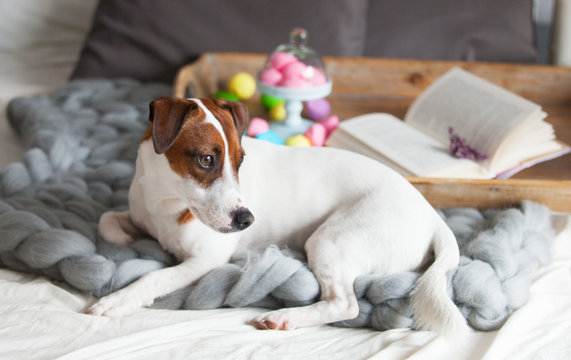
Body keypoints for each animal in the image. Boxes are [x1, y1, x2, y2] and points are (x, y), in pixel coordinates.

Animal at [90, 96, 470, 334]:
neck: (166, 199)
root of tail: (433, 217)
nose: (246, 220)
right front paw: (125, 235)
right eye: (206, 160)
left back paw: (286, 317)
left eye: (240, 161)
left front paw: (117, 300)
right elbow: (106, 220)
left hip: (330, 241)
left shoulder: (204, 260)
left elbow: (155, 277)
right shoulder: (139, 212)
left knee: (345, 304)